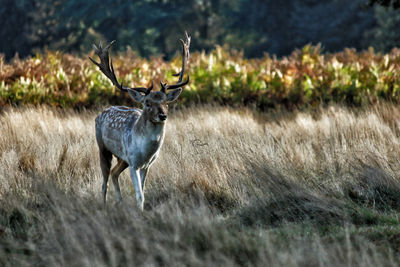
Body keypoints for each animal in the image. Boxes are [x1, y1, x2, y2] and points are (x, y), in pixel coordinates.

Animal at [90, 32, 191, 210]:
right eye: (147, 103)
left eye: (166, 102)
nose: (162, 116)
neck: (146, 152)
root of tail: (101, 113)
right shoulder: (133, 162)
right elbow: (139, 194)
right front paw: (140, 212)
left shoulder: (146, 165)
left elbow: (143, 191)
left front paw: (141, 210)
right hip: (103, 147)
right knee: (105, 180)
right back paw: (104, 205)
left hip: (122, 158)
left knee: (114, 173)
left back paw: (120, 202)